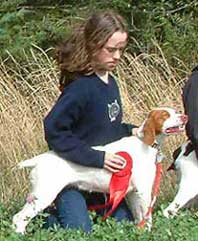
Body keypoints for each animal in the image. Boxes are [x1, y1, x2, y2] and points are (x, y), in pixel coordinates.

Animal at [12, 108, 187, 233]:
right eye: (165, 115)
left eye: (175, 111)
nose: (184, 116)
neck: (144, 143)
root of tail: (38, 160)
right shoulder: (144, 191)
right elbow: (147, 217)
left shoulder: (132, 193)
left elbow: (139, 218)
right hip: (43, 195)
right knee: (18, 219)